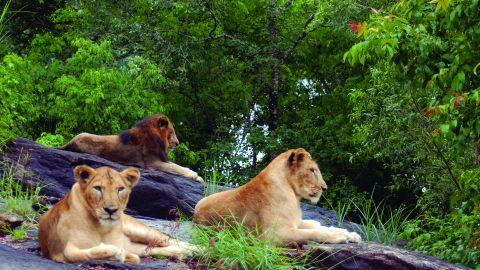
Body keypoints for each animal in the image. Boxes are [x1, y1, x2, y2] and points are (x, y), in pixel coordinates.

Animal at [37, 165, 195, 264]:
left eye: (120, 189)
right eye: (98, 188)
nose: (111, 210)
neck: (101, 227)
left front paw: (119, 254)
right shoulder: (58, 249)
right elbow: (78, 254)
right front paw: (117, 254)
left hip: (140, 230)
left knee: (170, 239)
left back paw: (196, 250)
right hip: (137, 244)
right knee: (155, 248)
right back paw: (184, 253)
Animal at [59, 114, 202, 181]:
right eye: (171, 132)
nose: (177, 143)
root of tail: (70, 142)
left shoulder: (161, 158)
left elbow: (178, 166)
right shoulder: (152, 162)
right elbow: (176, 168)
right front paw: (195, 175)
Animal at [191, 149, 360, 246]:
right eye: (312, 170)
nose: (325, 188)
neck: (294, 196)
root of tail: (194, 215)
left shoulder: (294, 222)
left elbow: (322, 227)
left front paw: (350, 234)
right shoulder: (275, 235)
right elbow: (315, 233)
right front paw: (340, 236)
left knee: (316, 223)